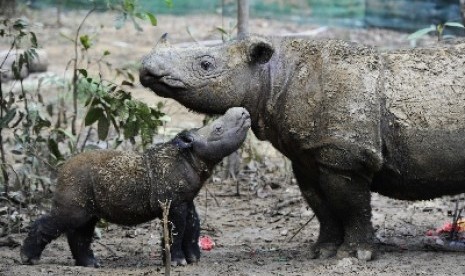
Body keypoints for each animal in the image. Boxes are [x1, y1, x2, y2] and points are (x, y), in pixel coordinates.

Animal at [19, 106, 250, 266]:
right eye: (218, 129)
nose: (244, 112)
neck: (190, 156)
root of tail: (61, 169)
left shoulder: (185, 199)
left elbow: (193, 225)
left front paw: (194, 258)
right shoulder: (174, 202)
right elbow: (176, 230)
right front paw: (177, 262)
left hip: (85, 190)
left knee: (83, 224)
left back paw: (91, 264)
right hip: (75, 182)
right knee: (68, 218)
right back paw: (28, 259)